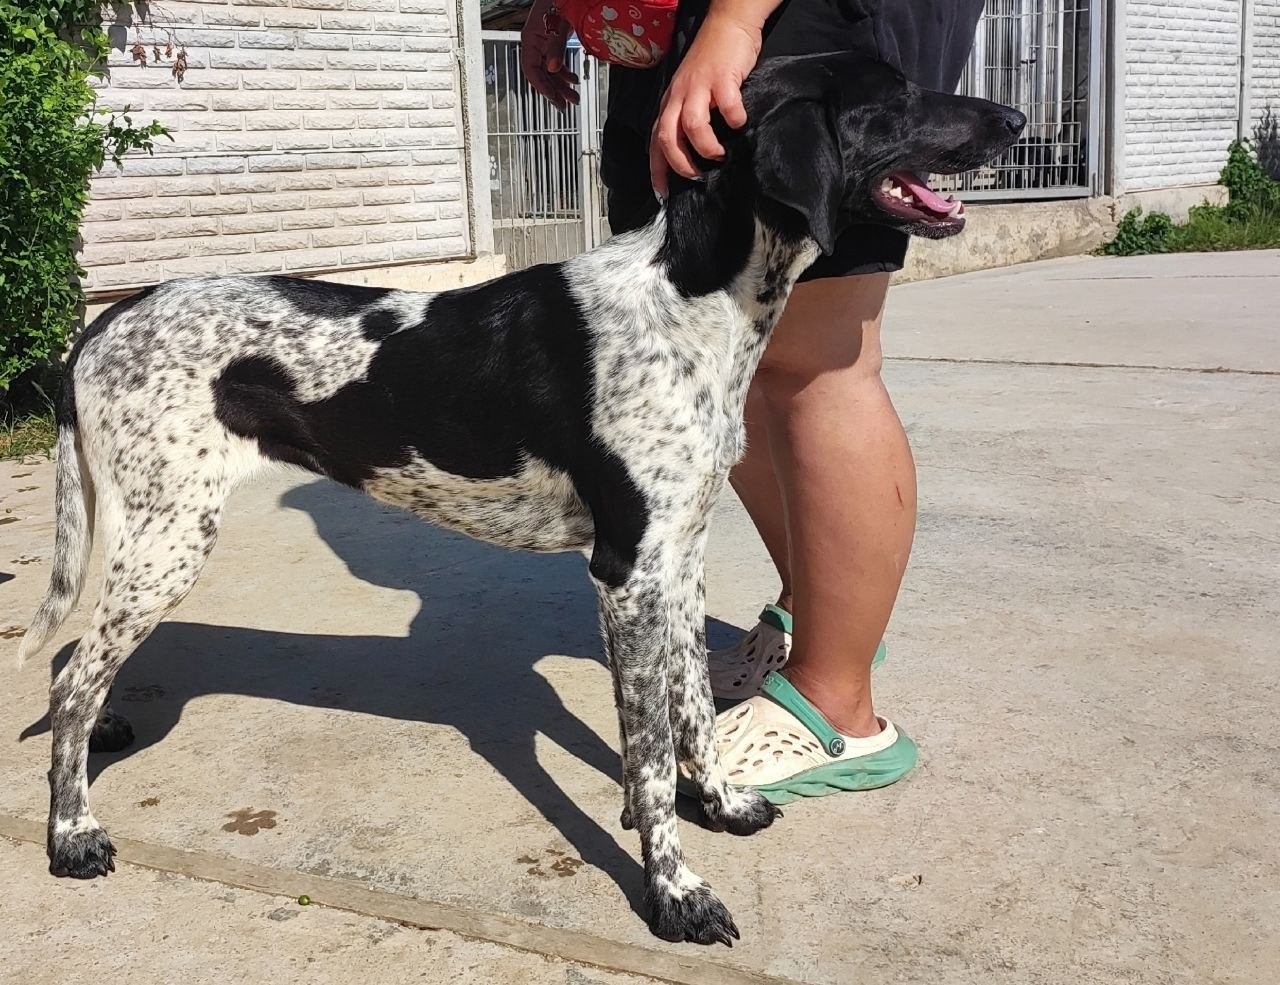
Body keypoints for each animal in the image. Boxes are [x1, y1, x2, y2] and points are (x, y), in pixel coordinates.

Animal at [19, 52, 1024, 945]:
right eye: (890, 97)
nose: (1014, 120)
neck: (689, 296)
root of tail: (106, 321)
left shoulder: (680, 556)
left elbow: (693, 708)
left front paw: (722, 803)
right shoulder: (627, 573)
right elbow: (648, 756)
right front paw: (676, 893)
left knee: (82, 669)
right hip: (169, 538)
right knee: (70, 676)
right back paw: (71, 832)